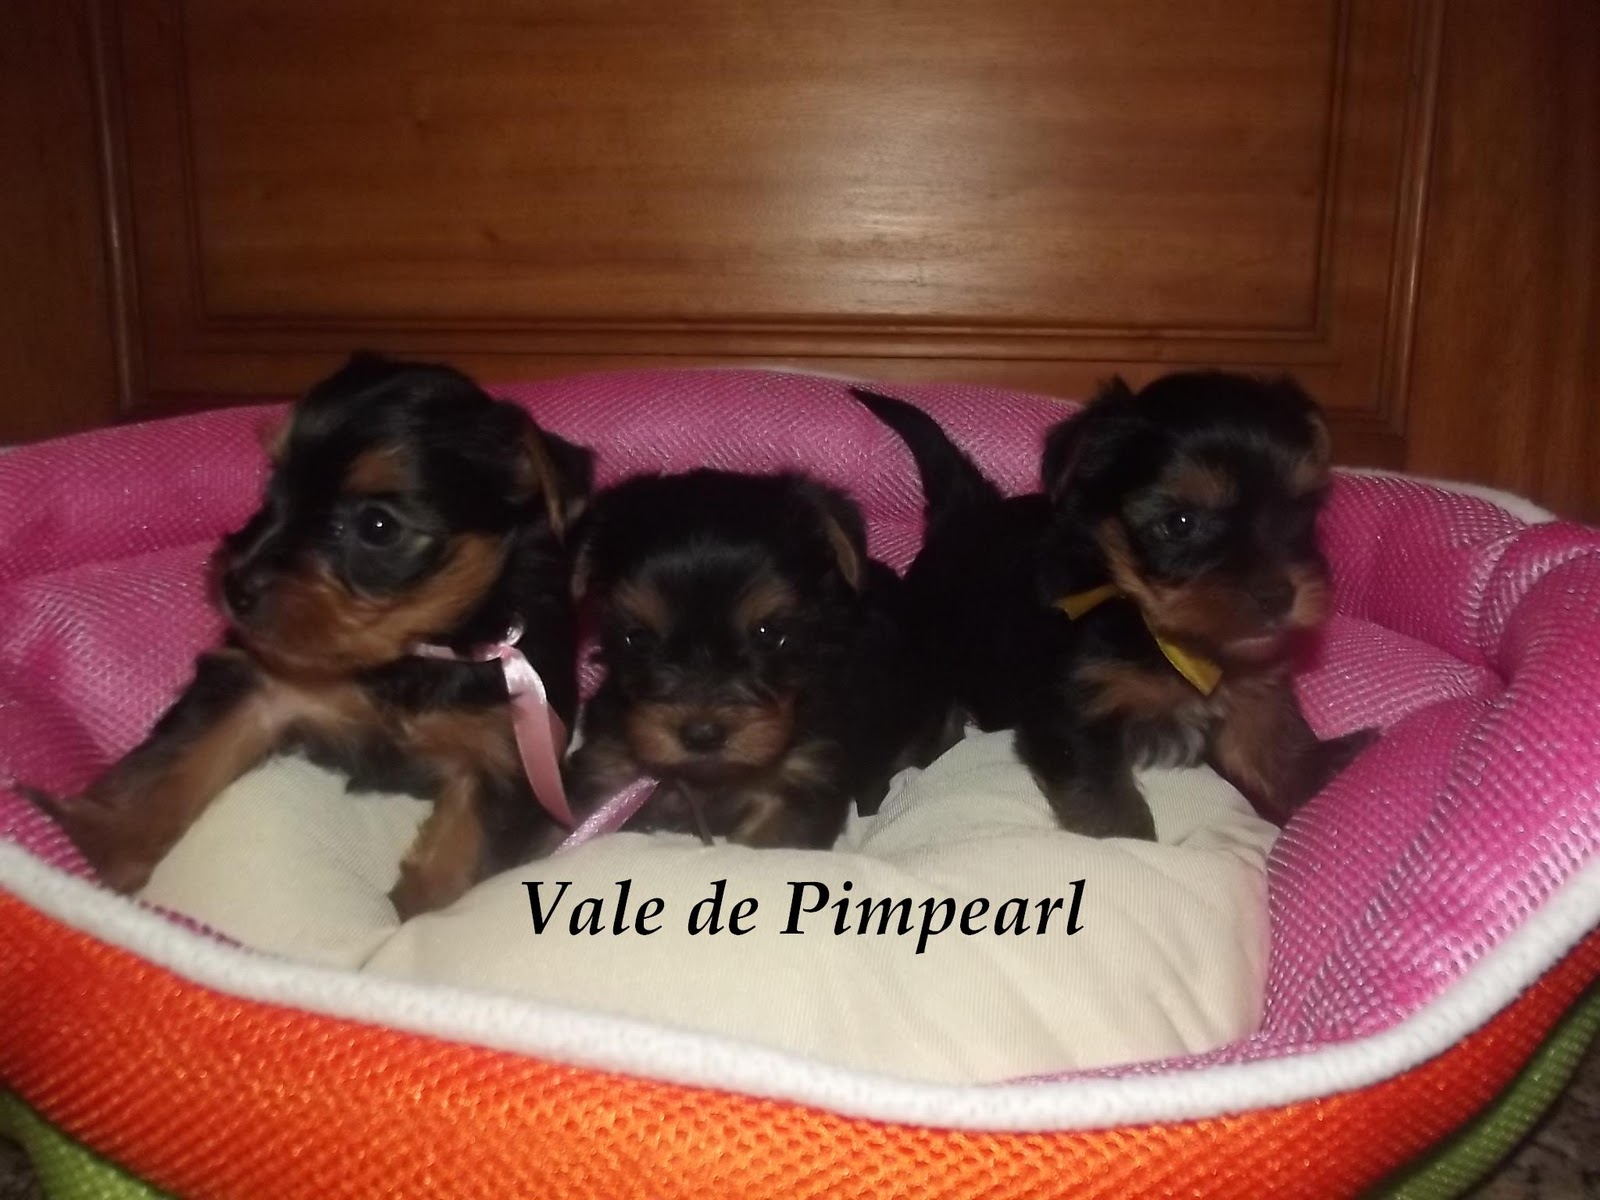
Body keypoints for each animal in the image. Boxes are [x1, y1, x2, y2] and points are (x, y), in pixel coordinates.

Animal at [39, 353, 594, 917]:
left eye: (377, 526)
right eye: (273, 488)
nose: (235, 586)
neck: (412, 653)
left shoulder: (507, 751)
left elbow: (456, 860)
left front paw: (408, 922)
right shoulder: (263, 682)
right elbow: (176, 764)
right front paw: (93, 847)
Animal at [852, 373, 1374, 838]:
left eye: (1301, 511)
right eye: (1180, 523)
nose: (1278, 595)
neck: (1145, 617)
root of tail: (966, 512)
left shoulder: (1252, 685)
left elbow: (1273, 743)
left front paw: (1314, 775)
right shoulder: (1073, 714)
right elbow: (1106, 804)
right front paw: (1131, 846)